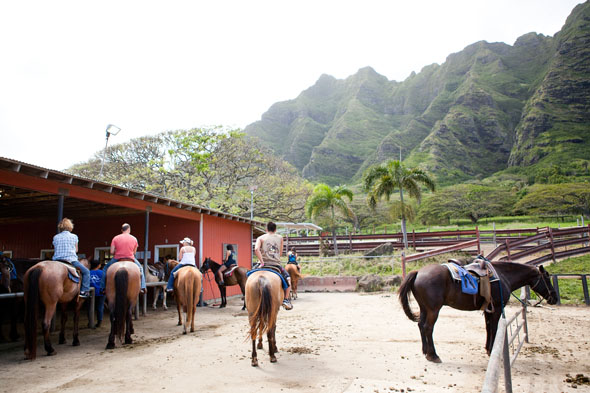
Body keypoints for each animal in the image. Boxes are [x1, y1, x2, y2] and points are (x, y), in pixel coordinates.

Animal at [398, 258, 560, 362]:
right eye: (547, 277)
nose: (554, 297)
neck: (503, 276)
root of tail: (418, 272)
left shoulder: (488, 309)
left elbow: (488, 328)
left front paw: (487, 348)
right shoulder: (497, 309)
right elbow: (494, 329)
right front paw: (492, 351)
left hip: (424, 308)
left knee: (421, 325)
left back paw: (425, 351)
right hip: (433, 310)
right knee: (428, 327)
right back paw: (433, 355)